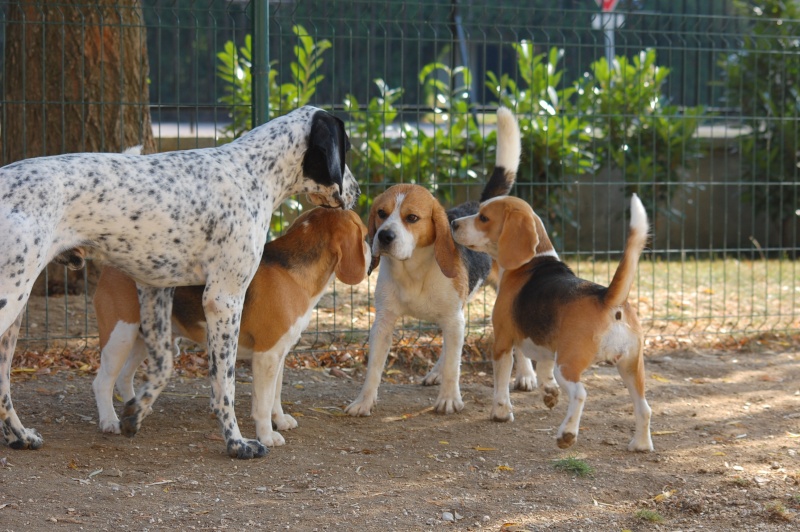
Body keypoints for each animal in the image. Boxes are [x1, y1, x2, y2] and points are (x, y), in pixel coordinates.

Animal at [93, 208, 368, 444]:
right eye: (365, 234)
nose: (373, 253)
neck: (290, 271)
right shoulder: (267, 354)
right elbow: (263, 402)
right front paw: (266, 435)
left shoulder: (279, 353)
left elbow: (275, 395)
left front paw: (279, 420)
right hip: (120, 335)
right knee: (103, 381)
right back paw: (110, 421)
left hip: (143, 338)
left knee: (124, 376)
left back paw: (135, 408)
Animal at [346, 107, 536, 416]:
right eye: (381, 213)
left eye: (412, 218)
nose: (384, 236)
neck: (413, 270)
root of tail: (482, 205)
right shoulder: (384, 322)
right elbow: (374, 369)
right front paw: (364, 401)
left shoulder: (452, 318)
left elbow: (453, 368)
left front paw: (448, 399)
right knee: (450, 348)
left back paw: (527, 375)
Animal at [454, 193, 652, 450]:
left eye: (484, 218)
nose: (454, 223)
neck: (534, 260)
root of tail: (607, 297)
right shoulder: (548, 344)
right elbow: (543, 369)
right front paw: (549, 392)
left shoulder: (503, 341)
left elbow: (501, 382)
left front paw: (501, 412)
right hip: (631, 367)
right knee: (644, 408)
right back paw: (641, 444)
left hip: (568, 366)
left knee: (580, 394)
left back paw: (566, 434)